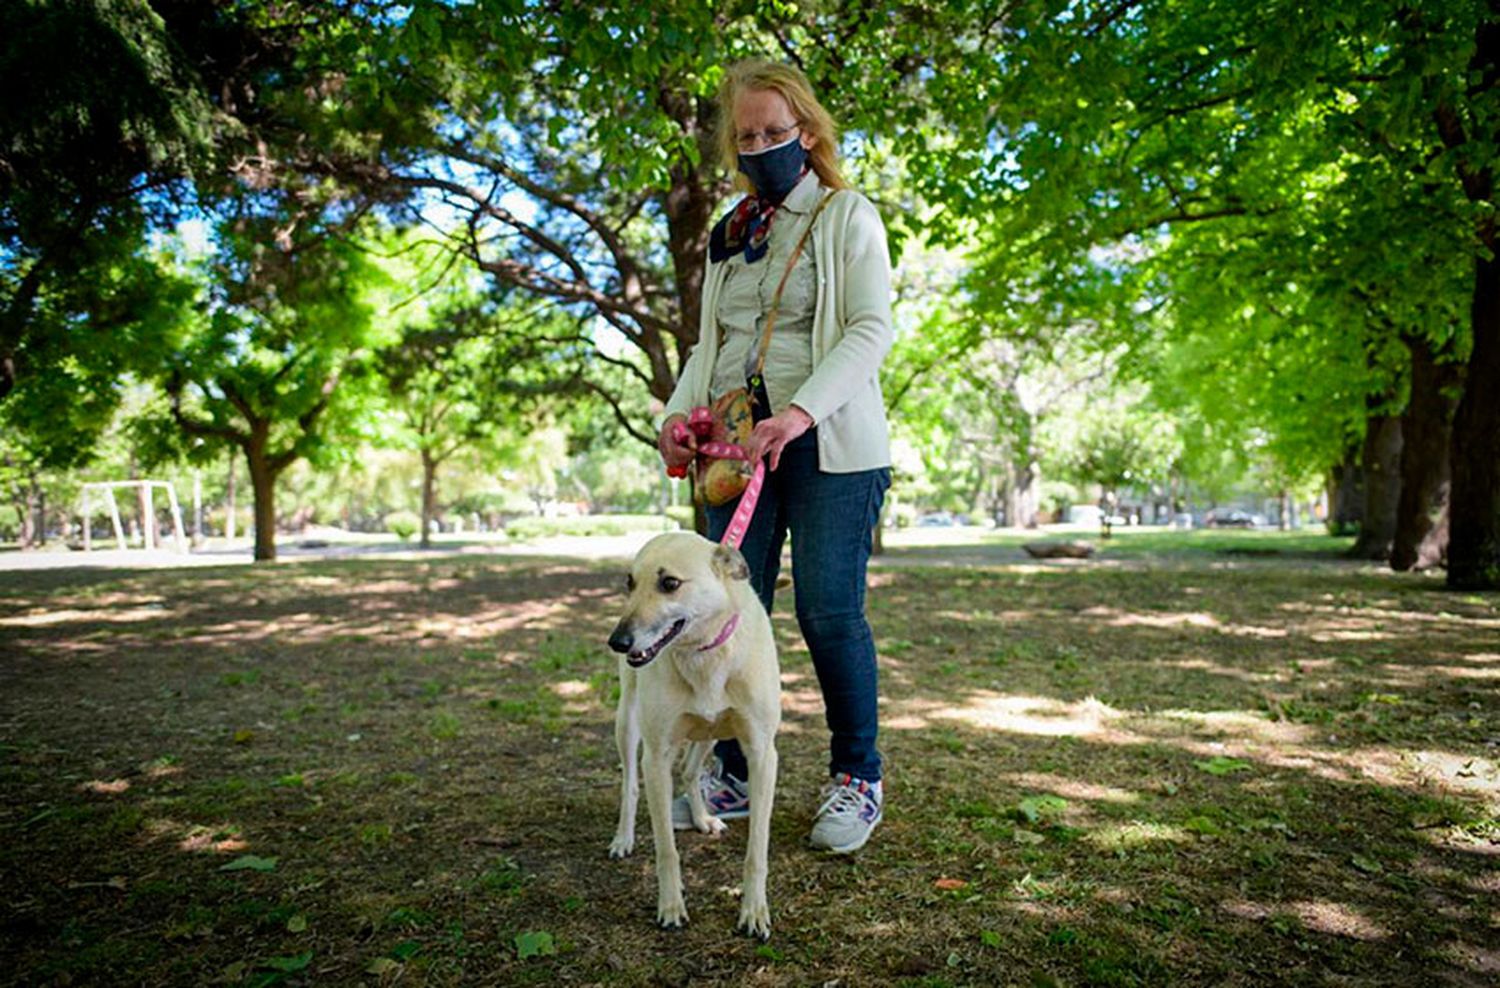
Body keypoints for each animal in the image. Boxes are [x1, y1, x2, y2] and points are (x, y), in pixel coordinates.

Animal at [606, 536, 786, 941]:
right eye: (629, 582)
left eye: (670, 583)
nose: (618, 642)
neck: (704, 653)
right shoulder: (656, 756)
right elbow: (666, 851)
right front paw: (671, 906)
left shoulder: (761, 754)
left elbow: (757, 851)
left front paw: (754, 911)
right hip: (628, 723)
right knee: (630, 785)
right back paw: (623, 838)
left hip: (710, 733)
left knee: (689, 772)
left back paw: (704, 818)